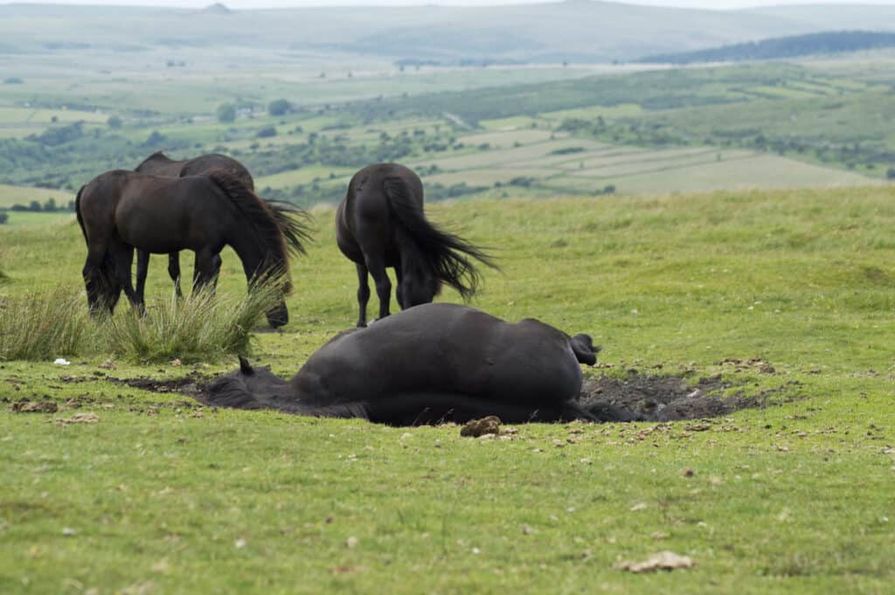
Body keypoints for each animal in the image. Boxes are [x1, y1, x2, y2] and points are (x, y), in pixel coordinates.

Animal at [77, 168, 308, 328]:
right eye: (274, 285)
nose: (281, 319)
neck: (222, 207)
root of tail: (87, 186)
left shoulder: (212, 254)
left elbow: (208, 282)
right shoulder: (204, 251)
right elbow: (200, 283)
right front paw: (196, 314)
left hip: (121, 243)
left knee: (122, 277)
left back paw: (136, 316)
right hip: (100, 239)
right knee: (90, 271)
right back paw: (96, 316)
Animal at [336, 163, 496, 328]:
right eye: (431, 295)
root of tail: (386, 178)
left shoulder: (361, 262)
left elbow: (363, 291)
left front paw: (361, 323)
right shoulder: (397, 261)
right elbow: (397, 290)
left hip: (372, 253)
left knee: (383, 285)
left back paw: (383, 317)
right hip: (404, 244)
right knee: (404, 285)